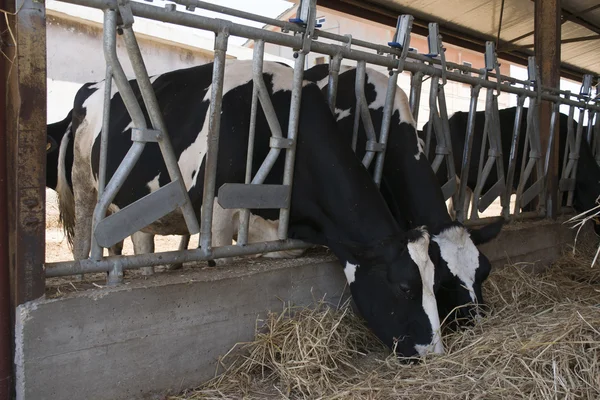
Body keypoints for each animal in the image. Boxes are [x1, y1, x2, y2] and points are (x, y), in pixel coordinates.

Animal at [54, 60, 442, 356]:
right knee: (84, 239)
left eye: (436, 281)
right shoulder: (218, 213)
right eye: (405, 287)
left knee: (141, 241)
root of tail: (90, 87)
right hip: (85, 183)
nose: (435, 352)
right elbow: (224, 263)